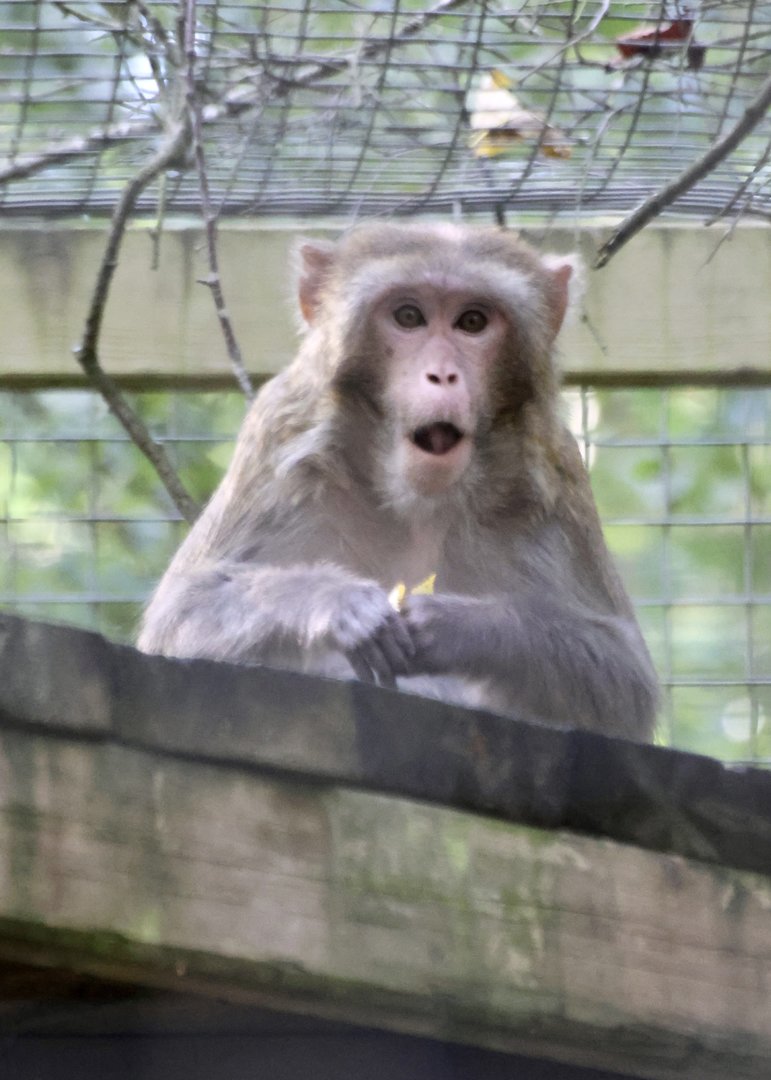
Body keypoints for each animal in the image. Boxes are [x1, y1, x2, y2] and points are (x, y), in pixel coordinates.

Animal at [138, 221, 658, 741]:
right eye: (409, 316)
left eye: (472, 322)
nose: (442, 375)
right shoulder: (281, 430)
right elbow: (181, 614)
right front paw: (338, 602)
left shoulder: (553, 468)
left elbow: (624, 677)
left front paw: (457, 627)